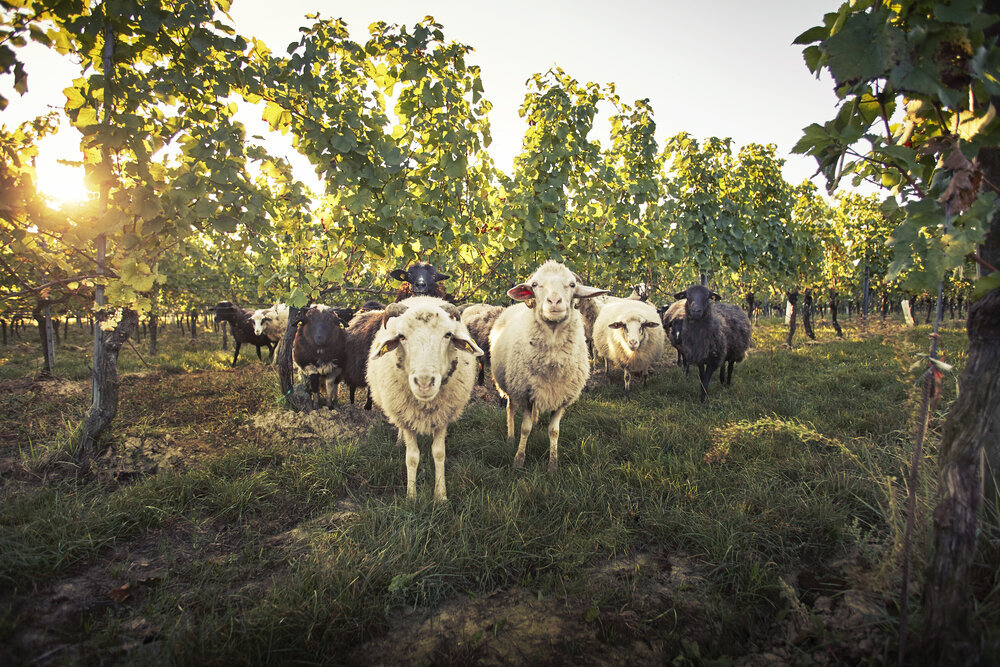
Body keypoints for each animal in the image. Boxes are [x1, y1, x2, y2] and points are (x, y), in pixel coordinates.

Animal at [366, 298, 482, 500]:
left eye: (448, 334)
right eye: (401, 336)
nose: (424, 382)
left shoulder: (443, 417)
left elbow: (439, 453)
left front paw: (440, 495)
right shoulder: (406, 418)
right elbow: (412, 457)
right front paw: (411, 496)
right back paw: (399, 441)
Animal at [488, 258, 604, 472]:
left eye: (572, 285)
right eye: (535, 285)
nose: (554, 302)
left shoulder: (562, 398)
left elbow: (554, 431)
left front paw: (553, 465)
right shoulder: (525, 393)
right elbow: (524, 429)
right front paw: (519, 459)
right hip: (509, 385)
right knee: (510, 408)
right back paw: (510, 438)